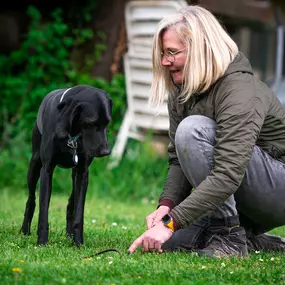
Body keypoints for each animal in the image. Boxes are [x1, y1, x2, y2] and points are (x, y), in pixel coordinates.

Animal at [20, 83, 111, 245]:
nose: (106, 151)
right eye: (91, 123)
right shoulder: (47, 170)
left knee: (71, 203)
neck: (72, 134)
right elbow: (43, 210)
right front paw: (42, 242)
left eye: (108, 122)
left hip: (75, 175)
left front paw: (78, 243)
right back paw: (25, 230)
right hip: (34, 165)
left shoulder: (82, 172)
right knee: (31, 199)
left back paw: (69, 234)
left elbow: (79, 212)